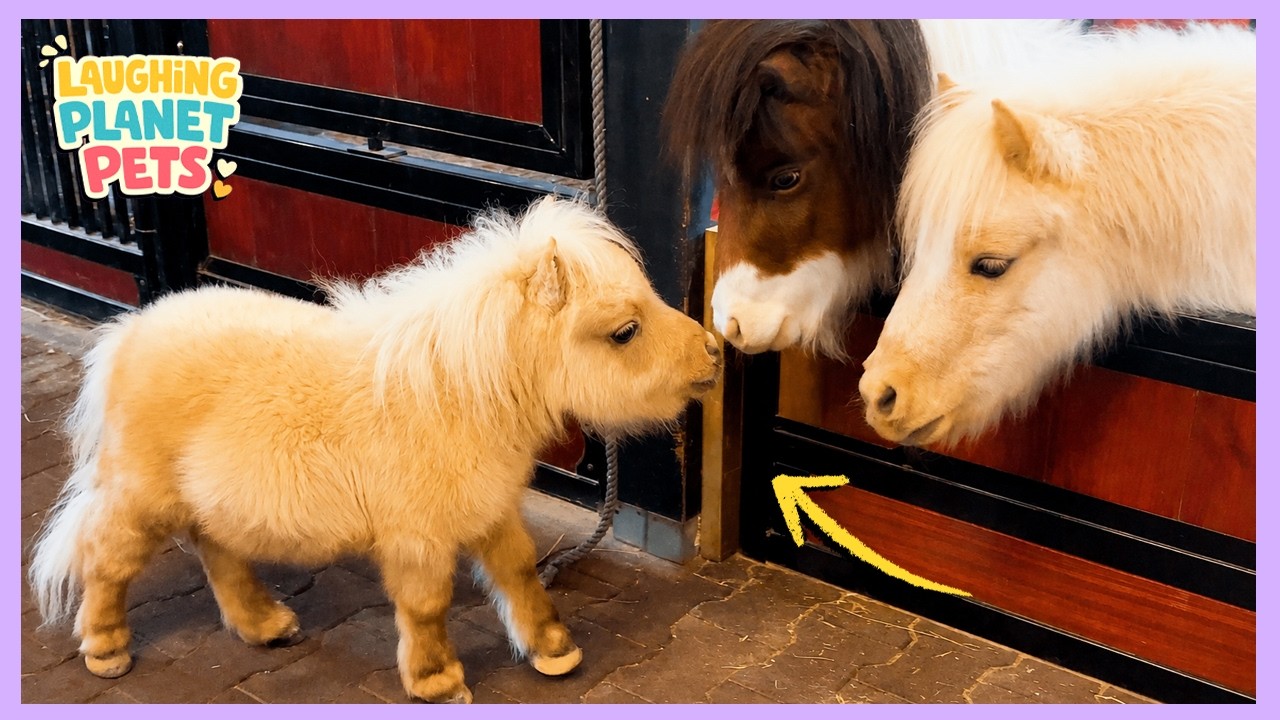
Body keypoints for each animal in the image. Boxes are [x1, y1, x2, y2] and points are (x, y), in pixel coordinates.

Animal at [28, 196, 722, 703]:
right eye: (624, 331)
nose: (714, 354)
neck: (452, 392)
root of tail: (126, 335)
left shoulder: (491, 510)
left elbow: (518, 572)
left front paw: (553, 651)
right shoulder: (418, 534)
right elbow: (426, 604)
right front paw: (438, 682)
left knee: (215, 547)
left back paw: (264, 626)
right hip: (139, 497)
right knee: (106, 559)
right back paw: (106, 650)